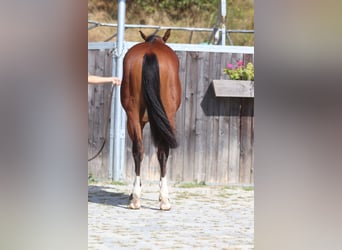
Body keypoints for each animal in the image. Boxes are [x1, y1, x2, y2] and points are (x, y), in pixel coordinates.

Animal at [121, 28, 182, 209]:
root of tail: (150, 53)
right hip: (168, 115)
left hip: (132, 115)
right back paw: (164, 199)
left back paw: (135, 199)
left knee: (138, 149)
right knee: (163, 152)